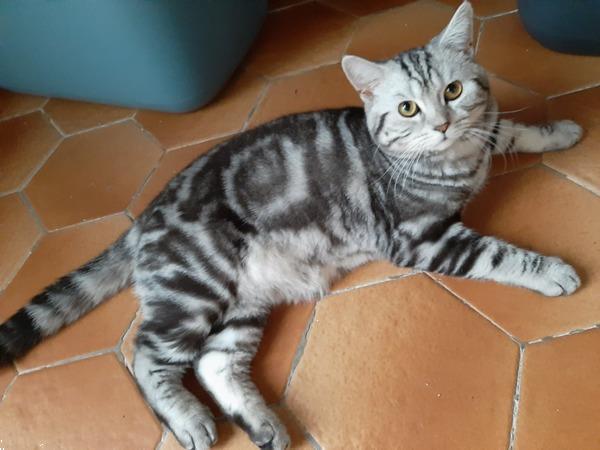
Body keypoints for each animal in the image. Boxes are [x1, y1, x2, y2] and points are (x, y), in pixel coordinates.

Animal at [0, 1, 580, 448]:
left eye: (454, 91)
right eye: (408, 109)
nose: (441, 125)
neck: (455, 162)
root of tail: (142, 219)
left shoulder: (483, 137)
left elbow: (508, 130)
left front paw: (558, 131)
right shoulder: (423, 239)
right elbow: (501, 253)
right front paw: (553, 270)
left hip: (243, 303)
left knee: (213, 363)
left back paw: (263, 425)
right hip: (196, 288)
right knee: (147, 356)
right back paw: (190, 421)